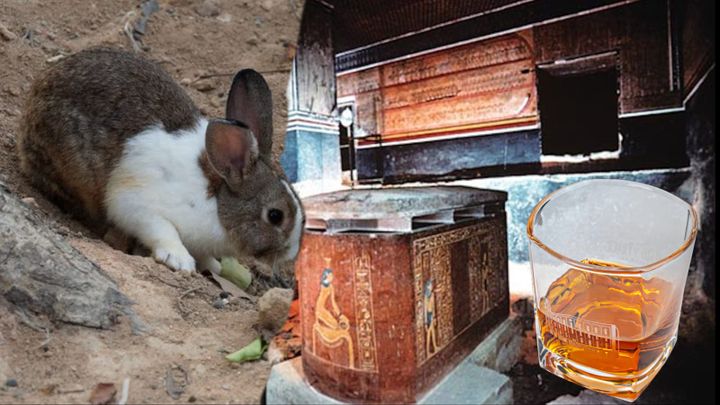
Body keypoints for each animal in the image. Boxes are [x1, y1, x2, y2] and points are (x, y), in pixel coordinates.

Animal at [17, 47, 304, 274]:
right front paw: (179, 260)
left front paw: (212, 266)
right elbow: (162, 230)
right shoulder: (140, 204)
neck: (216, 201)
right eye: (275, 216)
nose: (292, 253)